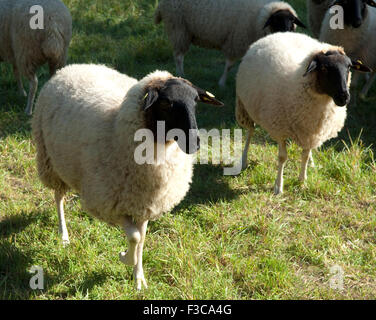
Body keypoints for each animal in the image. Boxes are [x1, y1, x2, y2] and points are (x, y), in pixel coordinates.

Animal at [31, 63, 223, 290]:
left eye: (195, 101)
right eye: (166, 103)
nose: (195, 143)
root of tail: (71, 67)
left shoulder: (144, 205)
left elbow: (141, 239)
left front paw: (138, 277)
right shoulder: (111, 204)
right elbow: (134, 237)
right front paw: (124, 257)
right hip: (51, 162)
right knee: (58, 197)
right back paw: (64, 236)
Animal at [156, 0, 306, 87]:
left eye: (292, 20)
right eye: (276, 20)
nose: (287, 33)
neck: (259, 17)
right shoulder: (236, 41)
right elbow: (229, 65)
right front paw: (222, 83)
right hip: (178, 28)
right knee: (178, 56)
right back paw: (181, 75)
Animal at [236, 31, 372, 194]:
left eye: (349, 67)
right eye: (324, 68)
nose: (344, 97)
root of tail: (280, 33)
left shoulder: (311, 129)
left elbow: (305, 155)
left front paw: (302, 181)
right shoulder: (279, 129)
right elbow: (282, 157)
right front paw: (278, 186)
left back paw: (312, 162)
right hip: (245, 106)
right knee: (250, 132)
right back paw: (244, 160)